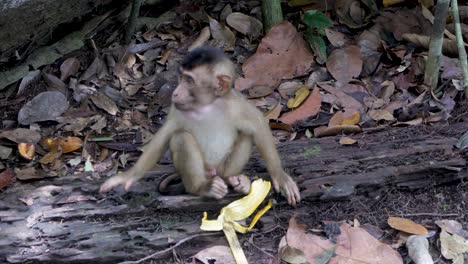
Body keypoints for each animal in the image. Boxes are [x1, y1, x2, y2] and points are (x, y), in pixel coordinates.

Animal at [100, 46, 302, 205]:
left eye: (189, 80)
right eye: (181, 78)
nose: (175, 92)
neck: (206, 105)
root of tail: (215, 174)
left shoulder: (235, 103)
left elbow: (258, 122)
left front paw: (280, 175)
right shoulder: (177, 110)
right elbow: (165, 136)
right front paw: (128, 176)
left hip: (222, 168)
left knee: (246, 134)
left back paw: (234, 181)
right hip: (205, 172)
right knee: (182, 138)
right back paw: (201, 188)